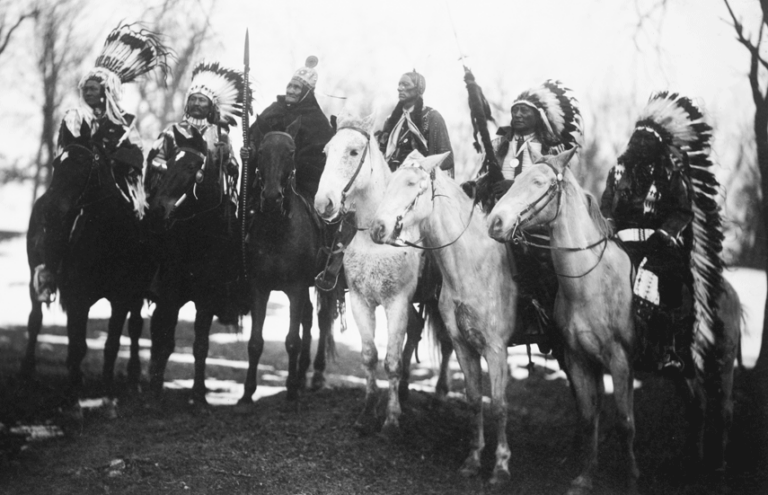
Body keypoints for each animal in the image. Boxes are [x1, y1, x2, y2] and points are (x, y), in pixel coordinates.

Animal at [144, 126, 240, 404]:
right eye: (166, 166)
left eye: (189, 166)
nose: (157, 211)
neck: (198, 239)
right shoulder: (169, 294)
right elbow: (165, 341)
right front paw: (156, 392)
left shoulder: (206, 299)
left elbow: (200, 346)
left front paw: (198, 396)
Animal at [238, 119, 338, 404]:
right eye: (261, 151)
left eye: (291, 152)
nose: (272, 198)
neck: (277, 230)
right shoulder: (259, 288)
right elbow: (255, 342)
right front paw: (247, 394)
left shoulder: (295, 288)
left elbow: (292, 340)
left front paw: (292, 391)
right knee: (308, 317)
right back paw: (302, 373)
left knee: (322, 318)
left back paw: (315, 375)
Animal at [314, 115, 452, 434]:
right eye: (325, 152)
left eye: (354, 152)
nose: (323, 204)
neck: (374, 239)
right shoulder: (360, 302)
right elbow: (369, 356)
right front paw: (368, 410)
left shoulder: (397, 303)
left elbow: (391, 361)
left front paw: (391, 417)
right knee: (415, 331)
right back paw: (403, 389)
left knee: (446, 342)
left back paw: (439, 396)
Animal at [370, 152, 520, 484]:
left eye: (412, 184)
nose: (377, 228)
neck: (472, 266)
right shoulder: (464, 346)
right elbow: (475, 401)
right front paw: (473, 459)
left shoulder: (496, 349)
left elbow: (500, 406)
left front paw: (501, 466)